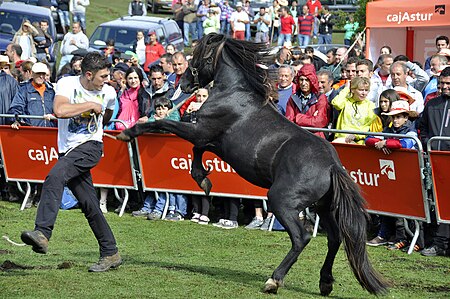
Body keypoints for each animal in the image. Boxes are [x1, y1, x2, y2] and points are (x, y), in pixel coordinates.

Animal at [118, 34, 388, 296]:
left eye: (198, 55)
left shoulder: (200, 130)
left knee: (301, 237)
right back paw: (325, 282)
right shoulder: (209, 139)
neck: (233, 94)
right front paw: (203, 179)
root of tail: (332, 165)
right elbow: (196, 151)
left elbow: (162, 124)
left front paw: (128, 133)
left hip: (282, 201)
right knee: (334, 238)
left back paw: (274, 280)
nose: (183, 83)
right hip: (324, 206)